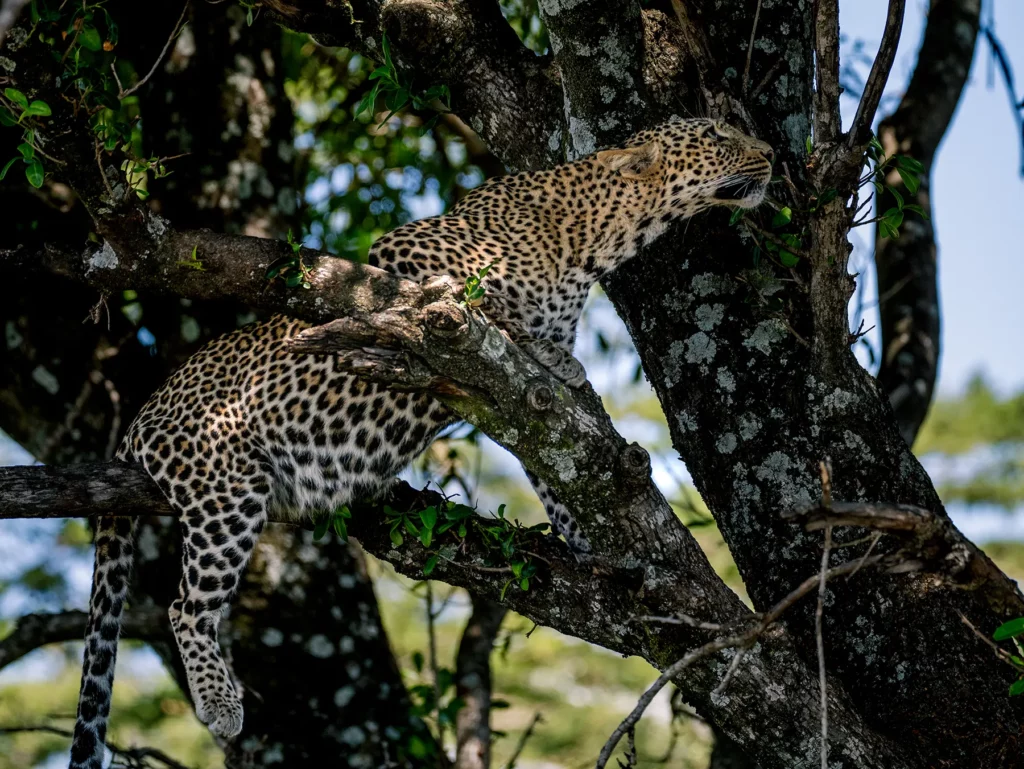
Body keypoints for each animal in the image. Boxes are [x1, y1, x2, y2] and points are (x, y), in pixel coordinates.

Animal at [69, 117, 772, 768]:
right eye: (717, 134)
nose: (769, 152)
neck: (589, 241)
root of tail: (139, 420)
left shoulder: (526, 409)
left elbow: (559, 464)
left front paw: (590, 543)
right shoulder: (403, 263)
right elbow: (488, 311)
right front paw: (541, 348)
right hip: (227, 489)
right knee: (185, 607)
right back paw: (220, 704)